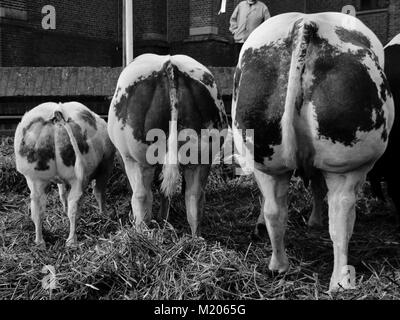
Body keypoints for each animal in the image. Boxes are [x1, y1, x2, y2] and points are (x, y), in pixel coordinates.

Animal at [14, 102, 115, 248]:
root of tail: (58, 111)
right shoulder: (105, 166)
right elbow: (99, 193)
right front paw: (104, 215)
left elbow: (62, 194)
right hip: (78, 179)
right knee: (74, 207)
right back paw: (71, 241)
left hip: (35, 178)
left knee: (38, 209)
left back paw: (40, 242)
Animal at [108, 53, 228, 236]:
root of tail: (170, 67)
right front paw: (163, 219)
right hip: (202, 157)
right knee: (194, 198)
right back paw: (195, 238)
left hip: (137, 158)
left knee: (142, 196)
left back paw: (141, 234)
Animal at [231, 12, 394, 292]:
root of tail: (306, 23)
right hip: (347, 164)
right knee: (340, 217)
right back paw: (340, 281)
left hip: (265, 160)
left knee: (274, 210)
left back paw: (278, 266)